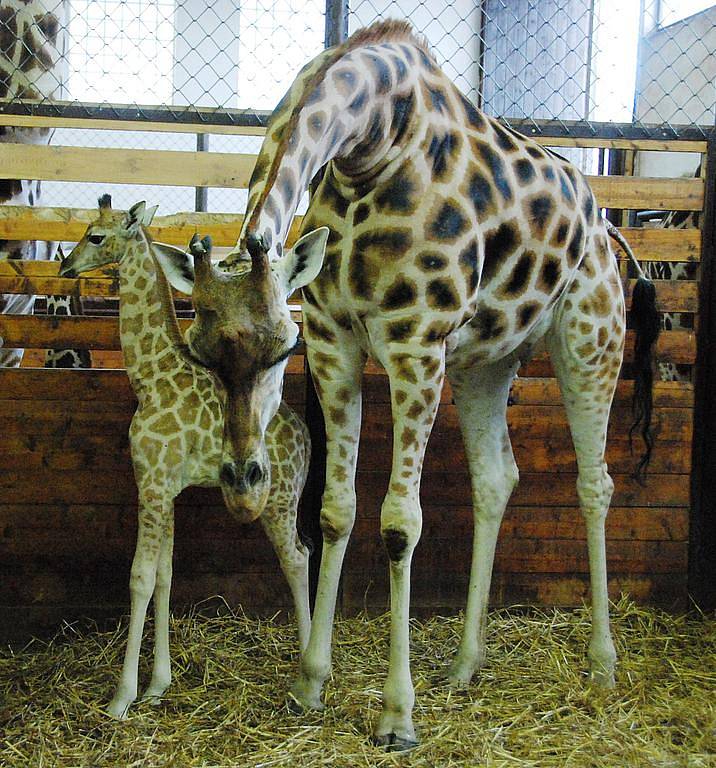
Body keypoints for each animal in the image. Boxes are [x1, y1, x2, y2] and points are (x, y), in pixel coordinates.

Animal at [58, 196, 310, 720]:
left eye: (95, 236)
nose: (65, 266)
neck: (149, 376)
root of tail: (307, 439)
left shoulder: (151, 483)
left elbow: (138, 577)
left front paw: (121, 698)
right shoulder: (165, 487)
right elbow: (164, 576)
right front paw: (158, 684)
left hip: (277, 501)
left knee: (297, 559)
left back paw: (309, 674)